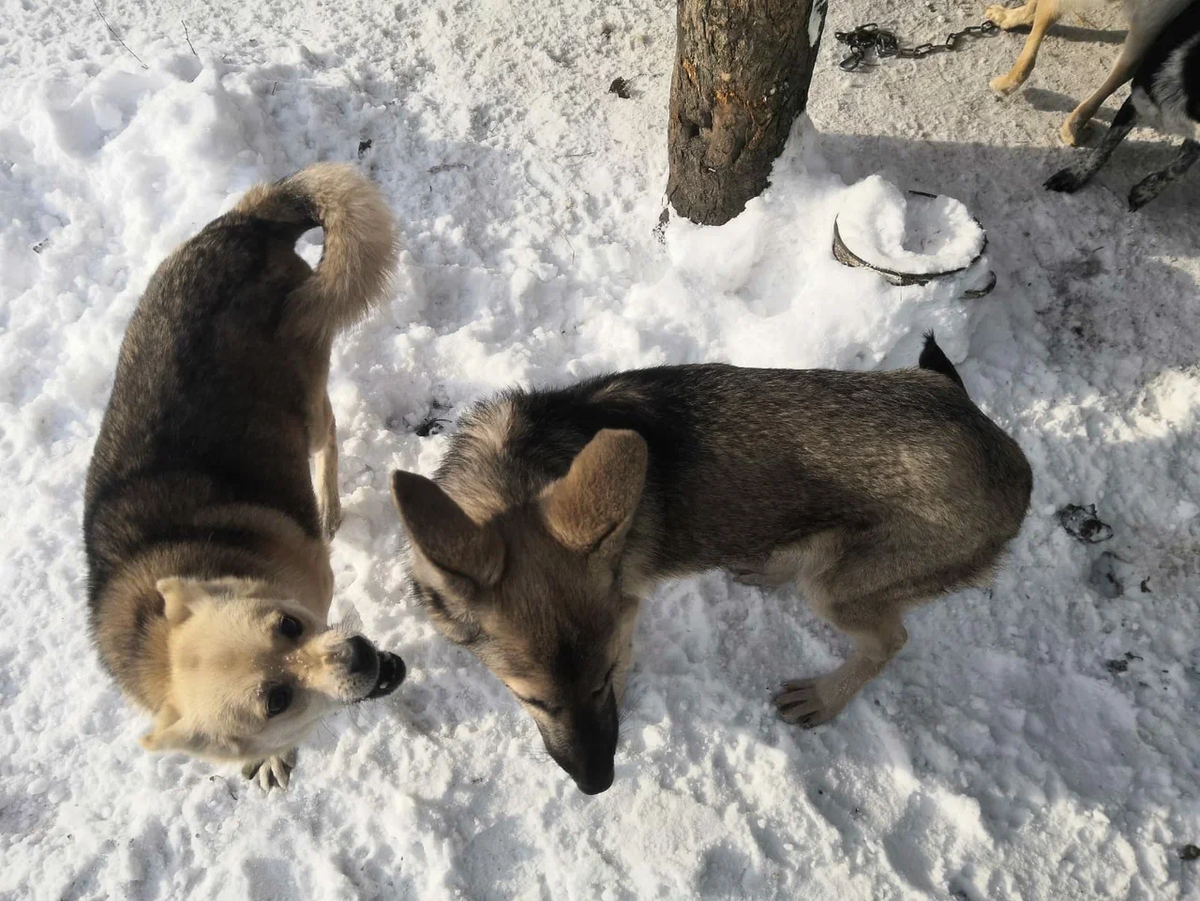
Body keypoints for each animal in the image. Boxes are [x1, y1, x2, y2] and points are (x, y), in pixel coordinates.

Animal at [85, 163, 405, 791]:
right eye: (275, 700)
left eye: (289, 625)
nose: (357, 654)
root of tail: (244, 222)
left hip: (306, 391)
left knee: (329, 432)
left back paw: (329, 507)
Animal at [390, 335, 1032, 795]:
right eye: (534, 701)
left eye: (602, 678)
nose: (599, 785)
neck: (516, 473)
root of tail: (1012, 461)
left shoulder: (624, 616)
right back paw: (769, 565)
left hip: (839, 589)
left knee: (888, 641)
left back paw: (825, 696)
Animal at [985, 0, 1191, 145]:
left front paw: (1012, 16)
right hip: (1157, 16)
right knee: (1127, 67)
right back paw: (1077, 124)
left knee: (1046, 20)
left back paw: (1010, 79)